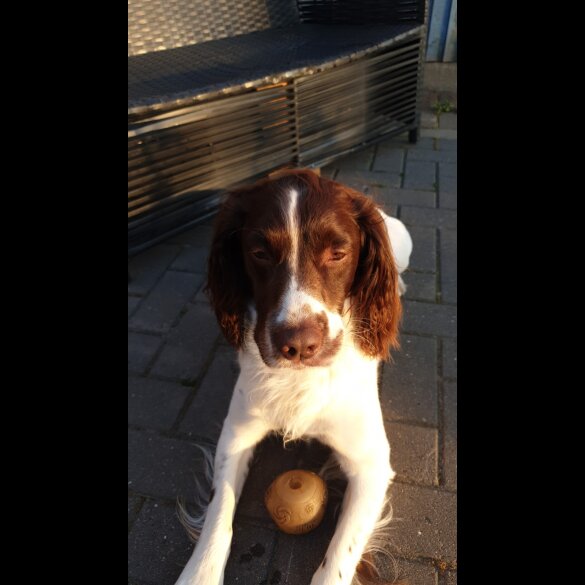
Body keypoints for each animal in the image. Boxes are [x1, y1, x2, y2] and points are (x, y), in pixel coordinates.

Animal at [176, 167, 412, 580]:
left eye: (338, 253)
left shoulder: (372, 463)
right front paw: (199, 573)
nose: (299, 345)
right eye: (259, 253)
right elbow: (219, 512)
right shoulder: (236, 433)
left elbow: (337, 559)